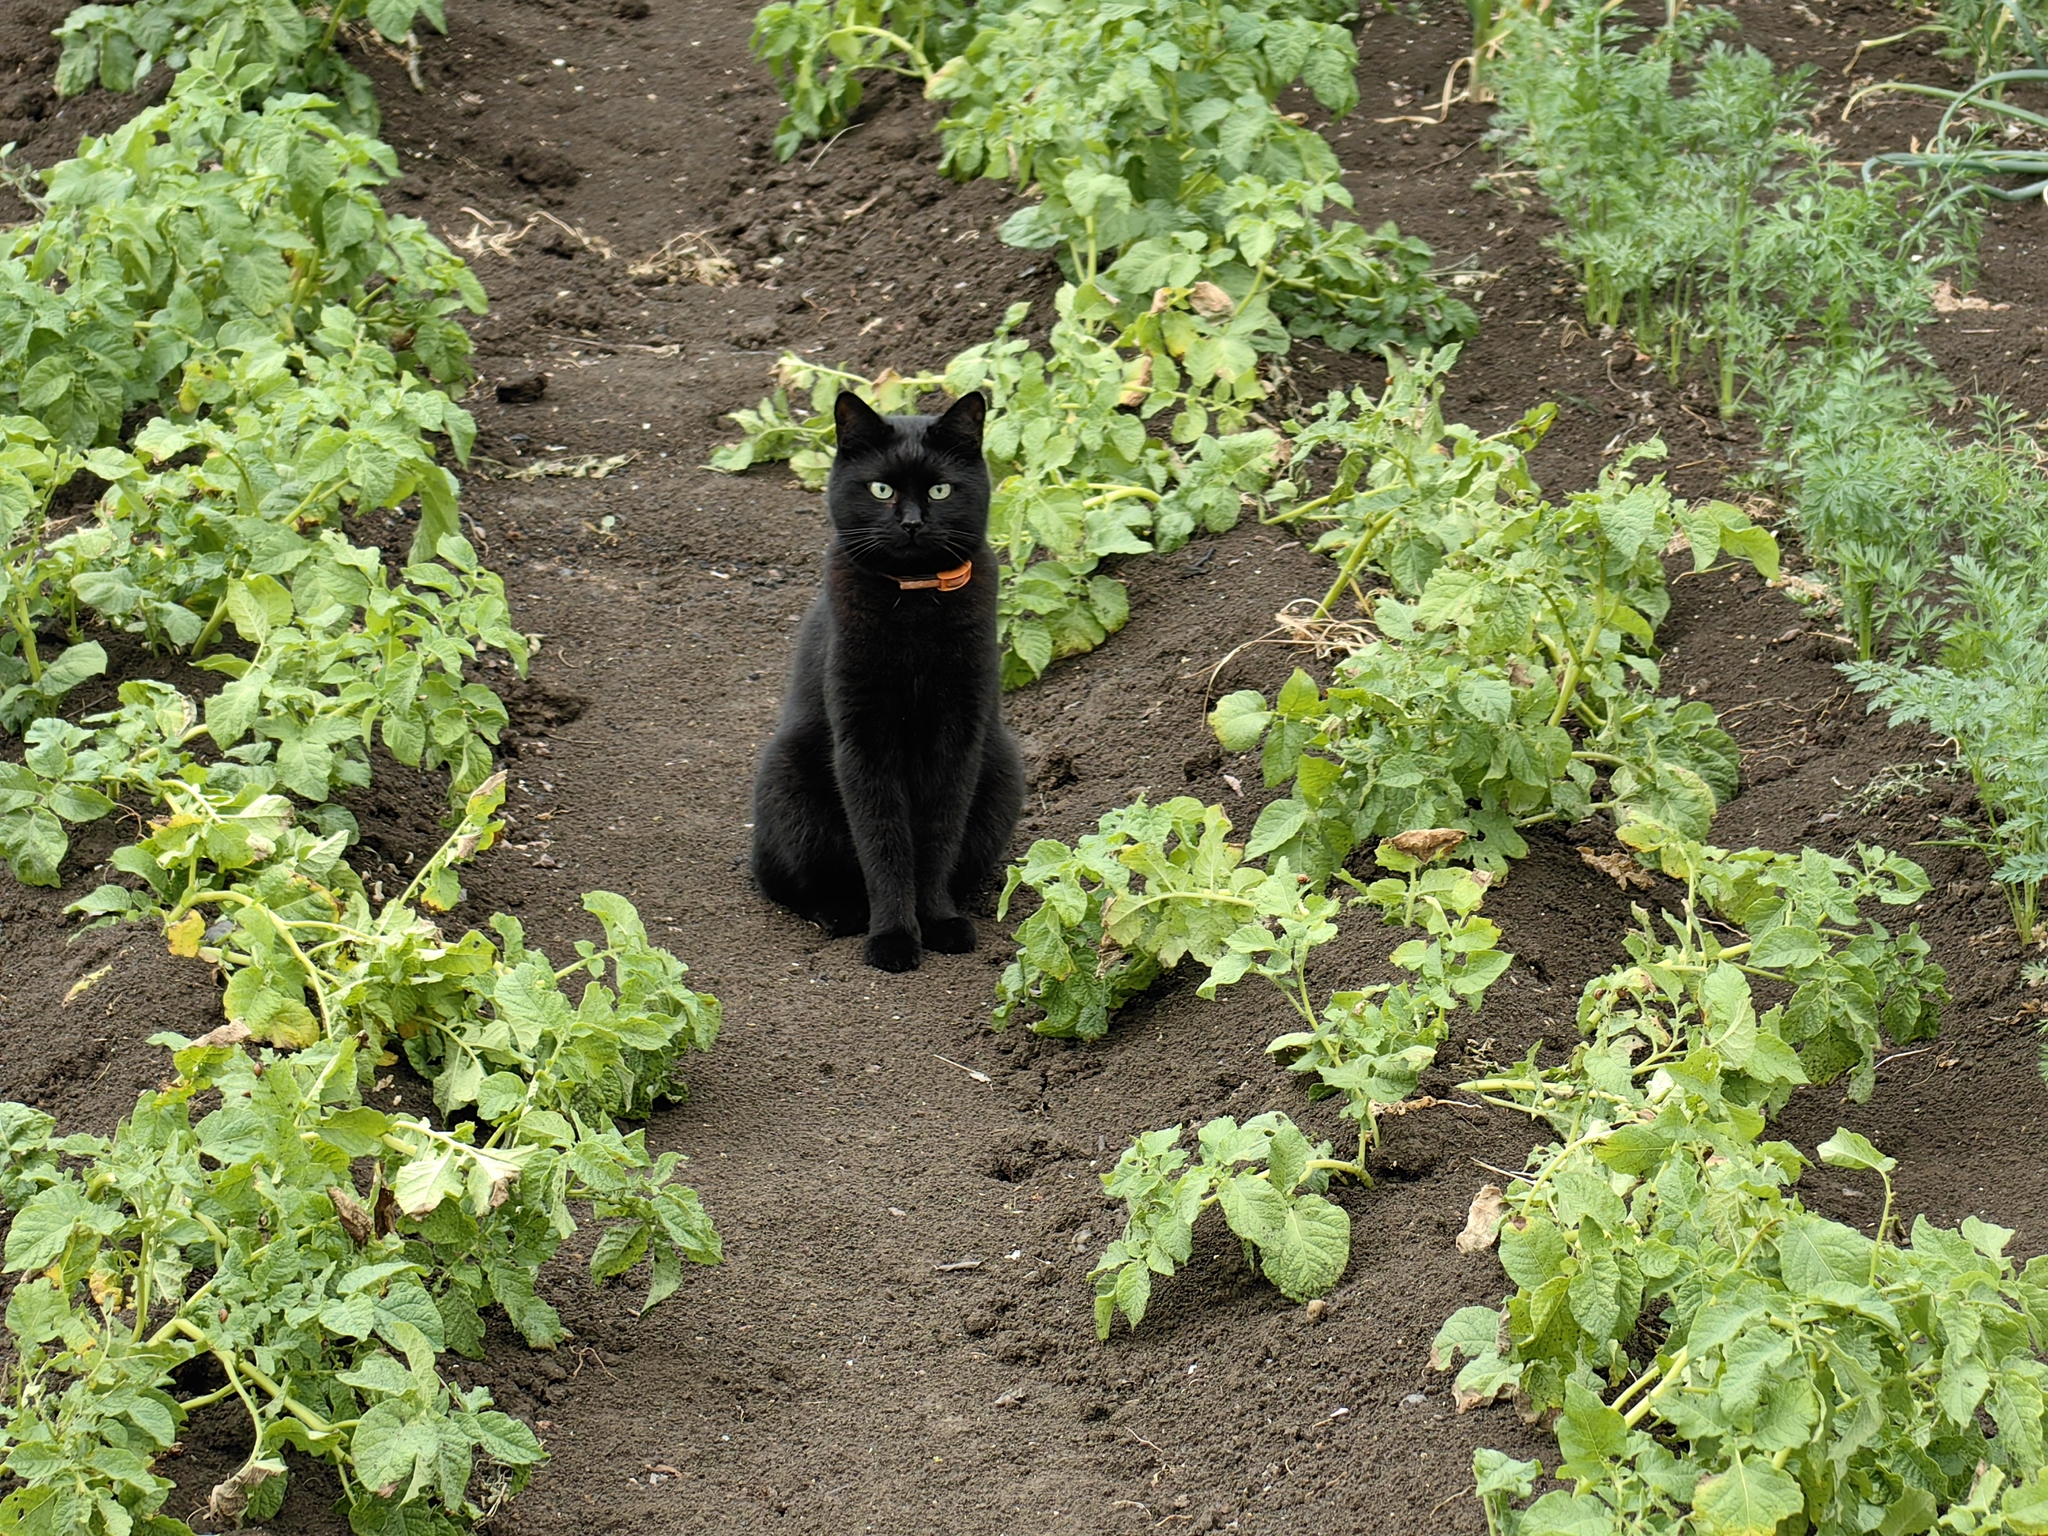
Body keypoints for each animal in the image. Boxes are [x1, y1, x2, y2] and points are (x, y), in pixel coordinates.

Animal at [753, 393, 1024, 974]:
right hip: (788, 780)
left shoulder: (958, 734)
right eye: (881, 489)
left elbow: (938, 837)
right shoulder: (864, 739)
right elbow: (884, 843)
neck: (915, 602)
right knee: (799, 885)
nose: (913, 524)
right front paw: (894, 938)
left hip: (1003, 773)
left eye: (940, 490)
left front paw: (938, 922)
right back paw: (845, 915)